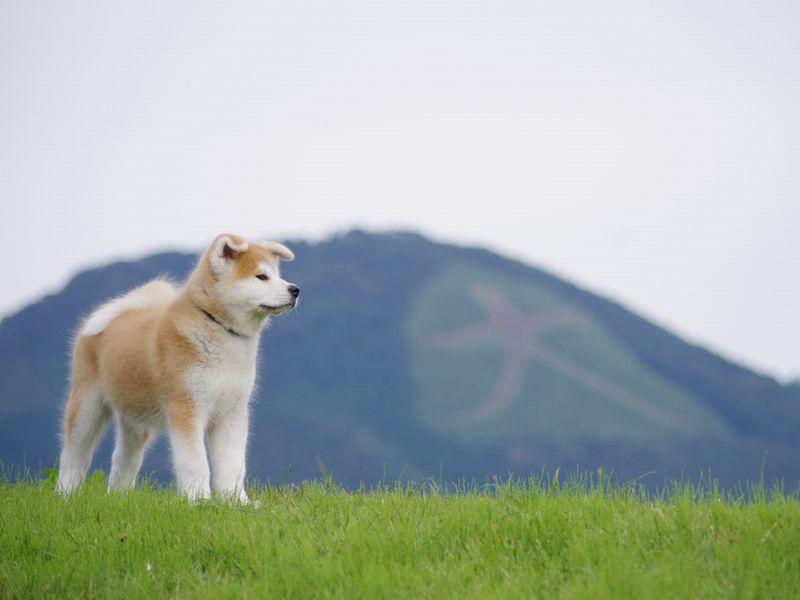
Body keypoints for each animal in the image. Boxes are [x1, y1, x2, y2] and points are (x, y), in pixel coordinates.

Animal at [57, 234, 300, 502]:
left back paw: (119, 499)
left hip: (135, 421)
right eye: (261, 276)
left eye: (278, 275)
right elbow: (195, 463)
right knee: (74, 455)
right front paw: (199, 500)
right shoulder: (186, 408)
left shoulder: (232, 412)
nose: (295, 289)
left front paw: (236, 501)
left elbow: (233, 464)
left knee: (123, 459)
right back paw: (65, 494)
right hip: (87, 405)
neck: (218, 328)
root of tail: (124, 308)